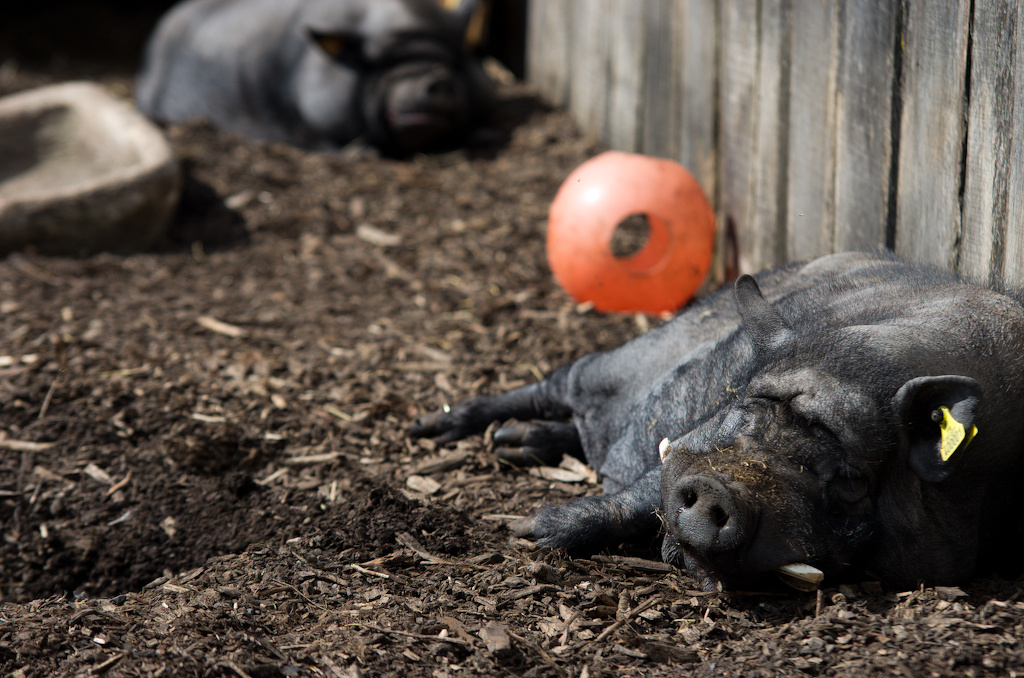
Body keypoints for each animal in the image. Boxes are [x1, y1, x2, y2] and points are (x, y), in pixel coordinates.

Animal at [411, 251, 1024, 594]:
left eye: (851, 481)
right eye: (745, 408)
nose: (717, 489)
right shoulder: (691, 434)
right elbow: (644, 488)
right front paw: (530, 530)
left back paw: (514, 445)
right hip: (621, 358)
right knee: (559, 383)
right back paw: (442, 431)